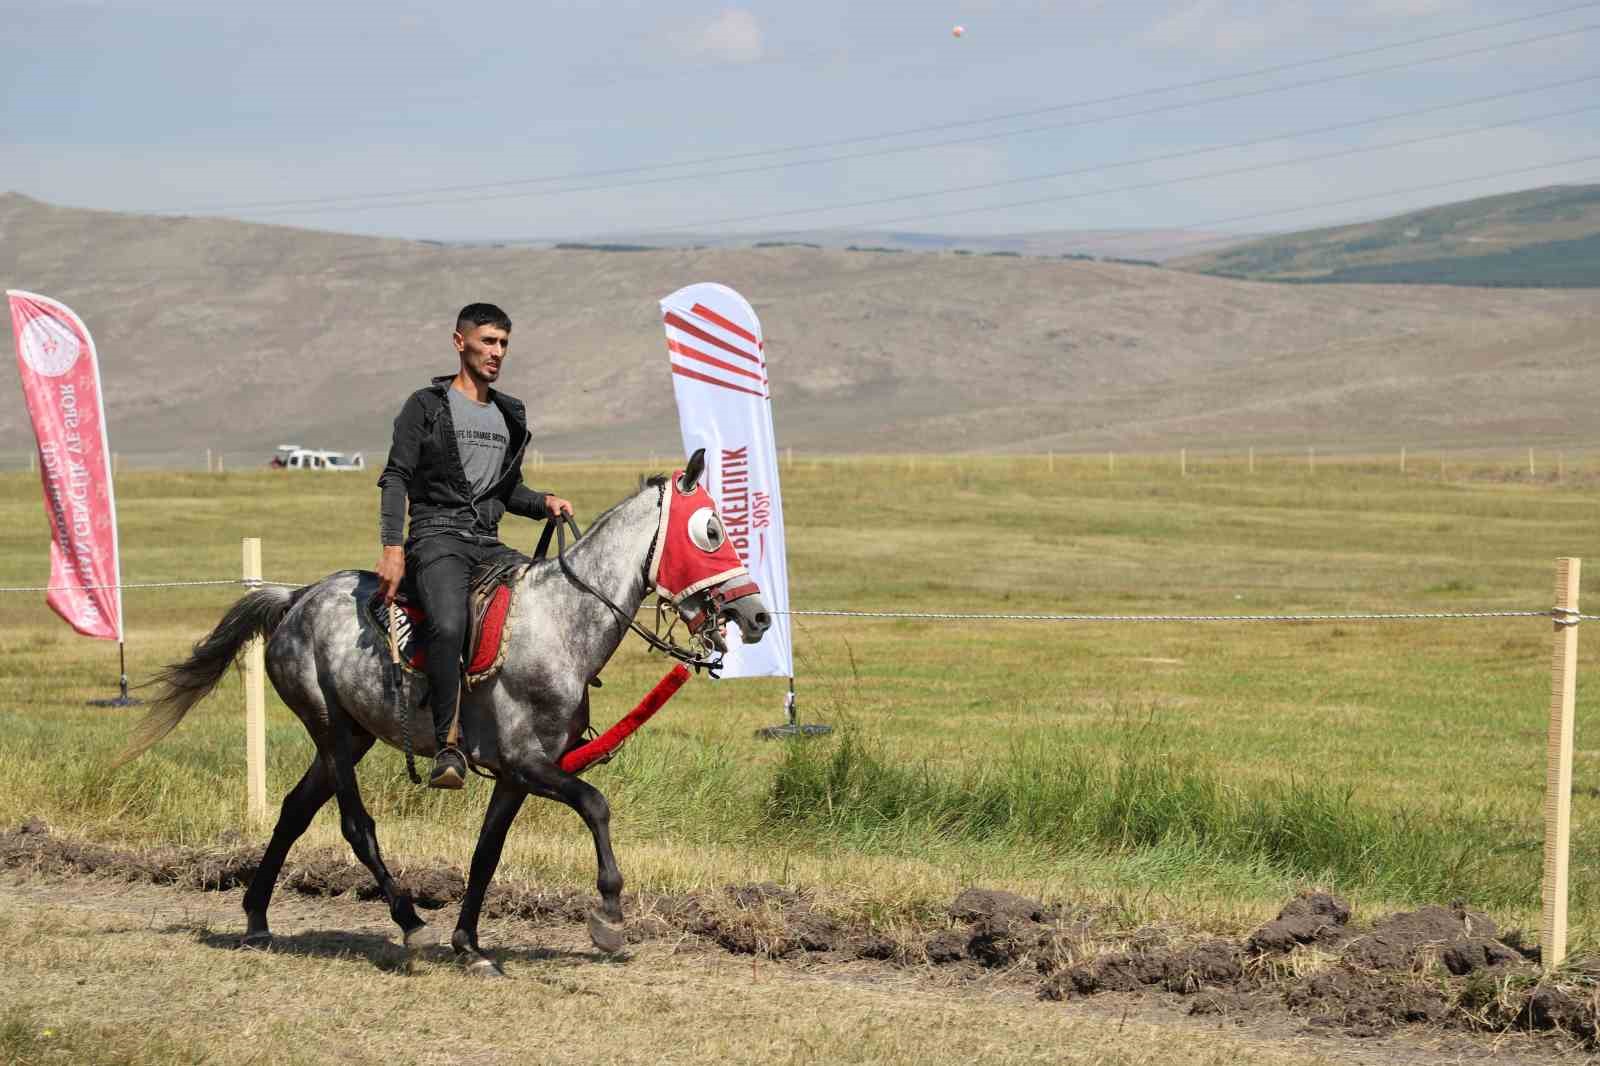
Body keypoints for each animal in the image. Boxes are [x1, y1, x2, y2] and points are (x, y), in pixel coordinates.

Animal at [121, 451, 771, 973]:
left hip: (351, 736)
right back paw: (408, 921)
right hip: (329, 729)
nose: (758, 615)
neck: (560, 624)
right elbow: (595, 804)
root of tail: (297, 598)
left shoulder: (516, 776)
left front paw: (471, 945)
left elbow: (487, 852)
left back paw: (257, 917)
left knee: (294, 810)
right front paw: (609, 916)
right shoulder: (529, 763)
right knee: (355, 825)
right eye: (711, 530)